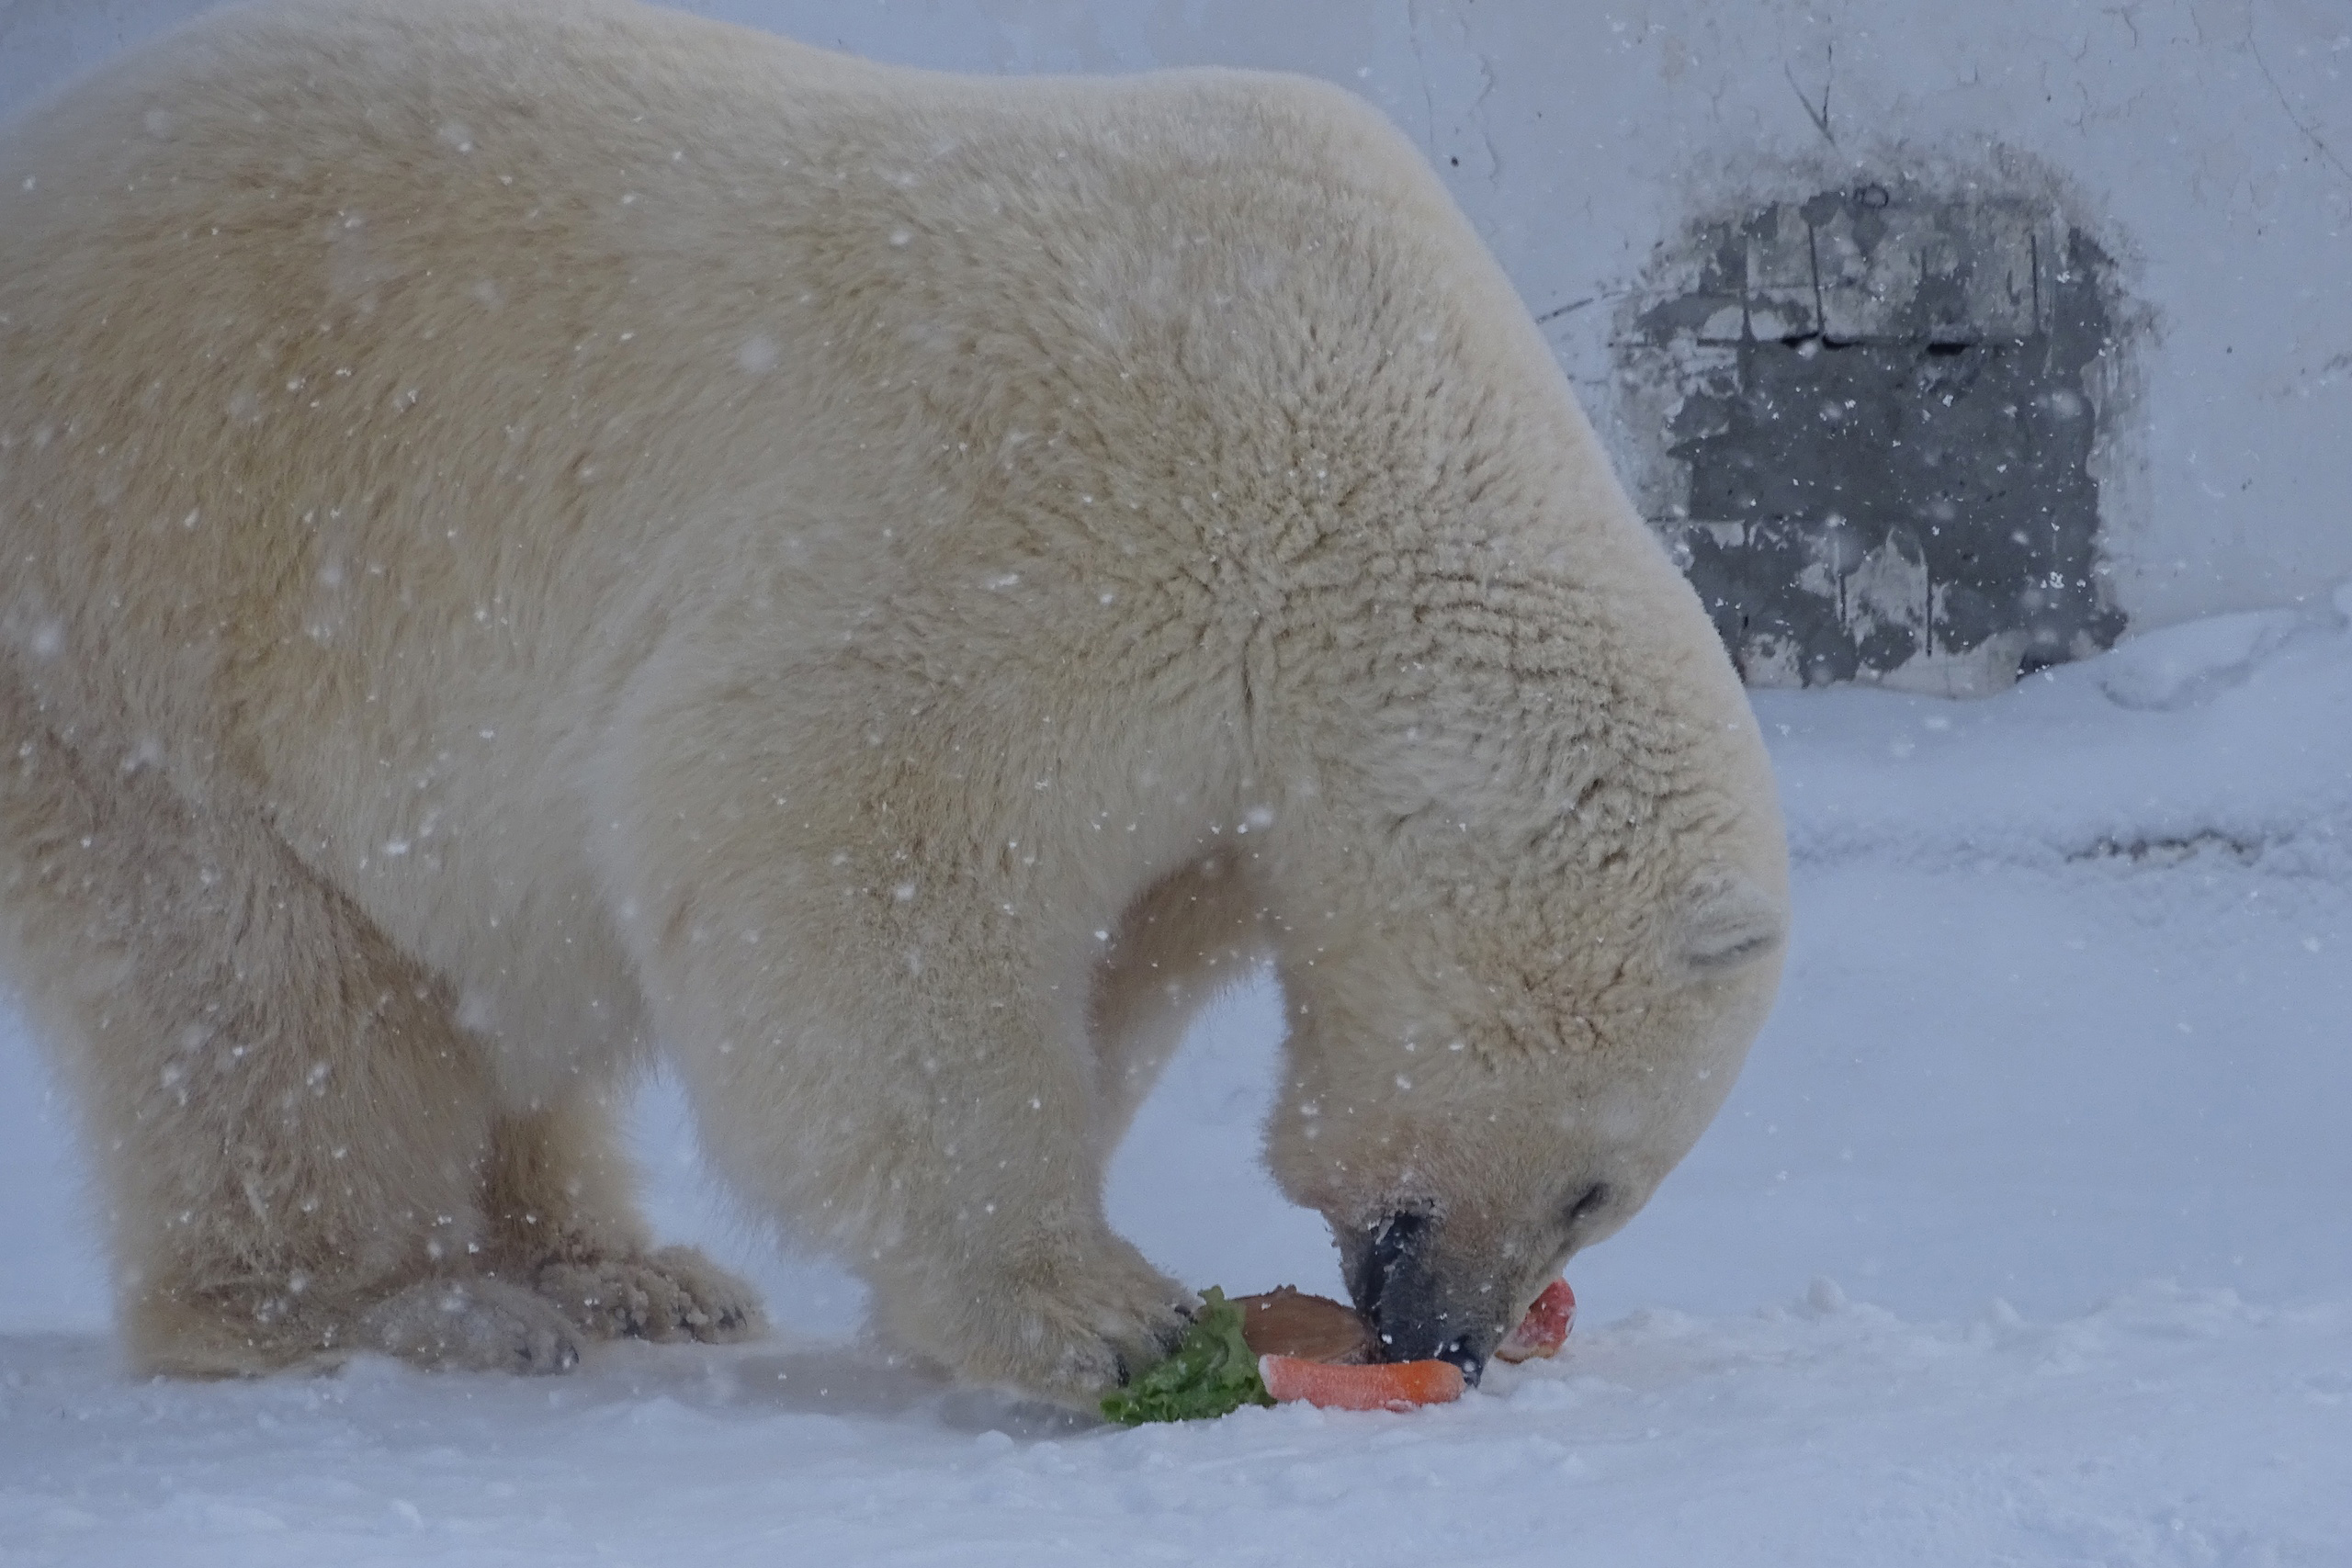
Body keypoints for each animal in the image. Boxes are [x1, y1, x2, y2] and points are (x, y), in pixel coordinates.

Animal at [0, 0, 1778, 1401]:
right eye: (1597, 1182)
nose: (1452, 1333)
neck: (1363, 437)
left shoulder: (1218, 782)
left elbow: (1115, 947)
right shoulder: (1053, 501)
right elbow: (859, 843)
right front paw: (1098, 1312)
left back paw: (629, 1269)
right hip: (162, 586)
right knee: (255, 984)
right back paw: (403, 1303)